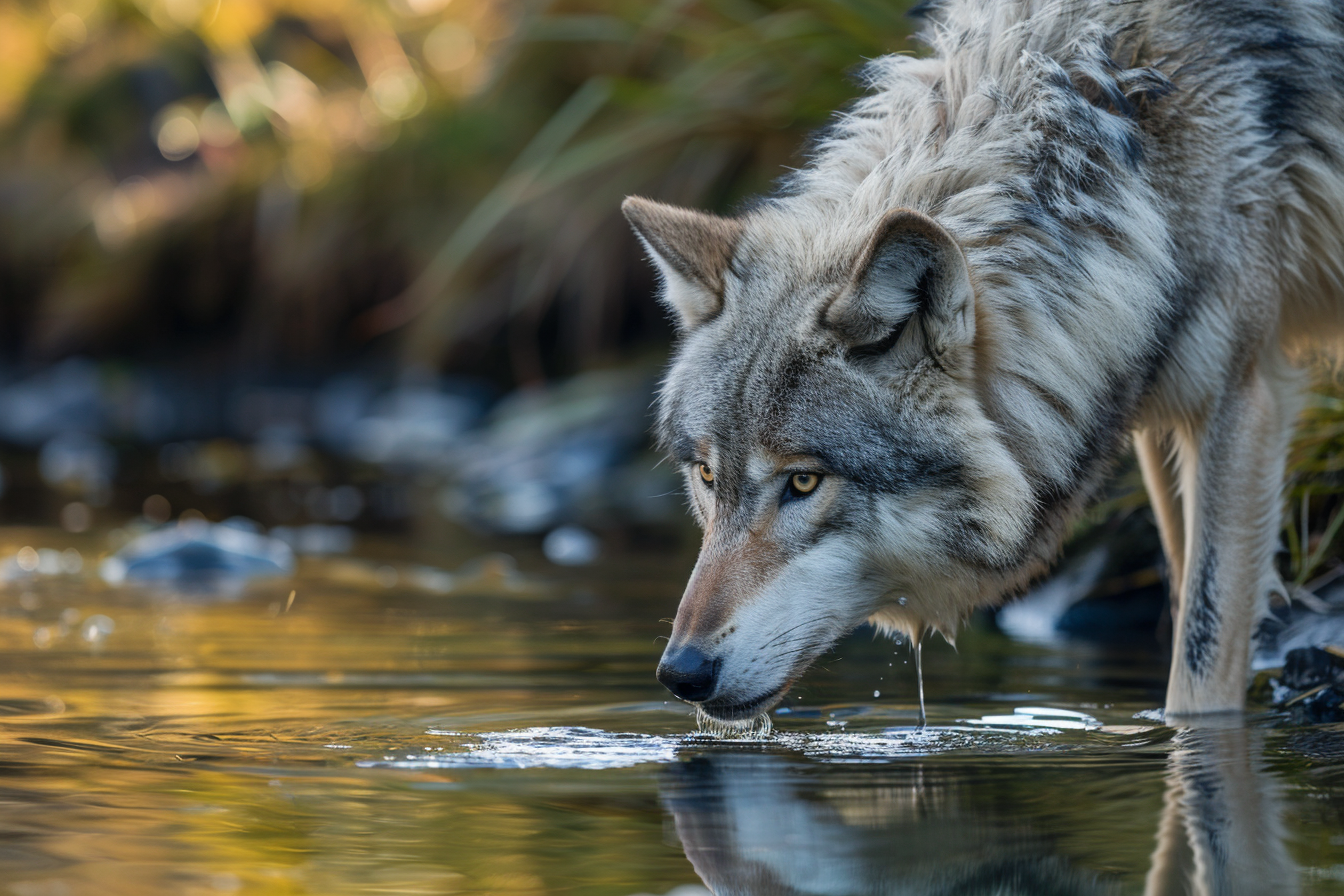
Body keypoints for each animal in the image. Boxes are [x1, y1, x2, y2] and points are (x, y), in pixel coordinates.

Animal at [623, 0, 1344, 723]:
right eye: (707, 477)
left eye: (803, 482)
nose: (681, 672)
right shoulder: (1161, 407)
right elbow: (1180, 587)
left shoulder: (1238, 401)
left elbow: (1201, 656)